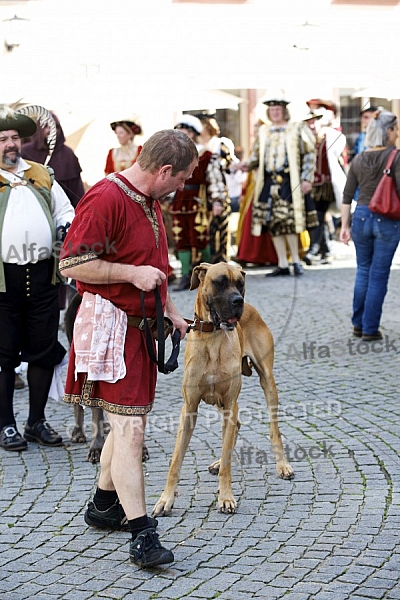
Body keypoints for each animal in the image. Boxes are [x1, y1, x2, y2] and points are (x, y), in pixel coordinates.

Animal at [152, 262, 292, 516]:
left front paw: (226, 497)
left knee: (272, 428)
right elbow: (176, 460)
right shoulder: (190, 408)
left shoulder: (229, 405)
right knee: (237, 425)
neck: (213, 338)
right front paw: (165, 499)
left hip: (266, 383)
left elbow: (228, 458)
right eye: (220, 282)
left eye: (240, 283)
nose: (238, 301)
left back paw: (282, 464)